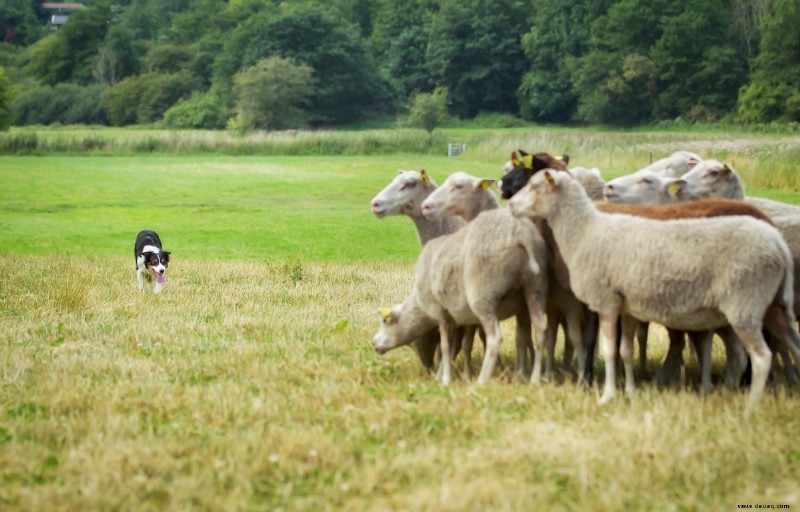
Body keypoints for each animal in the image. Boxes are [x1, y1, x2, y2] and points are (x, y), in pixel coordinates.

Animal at [512, 171, 800, 408]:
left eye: (534, 185)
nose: (512, 205)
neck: (585, 232)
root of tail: (778, 242)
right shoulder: (627, 307)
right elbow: (625, 351)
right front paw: (629, 392)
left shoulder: (606, 302)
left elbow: (608, 350)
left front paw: (607, 396)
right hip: (772, 305)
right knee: (793, 345)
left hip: (745, 304)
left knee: (762, 357)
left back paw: (750, 408)